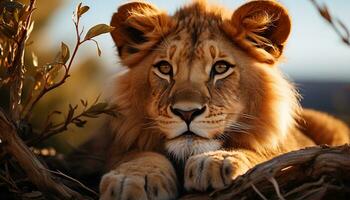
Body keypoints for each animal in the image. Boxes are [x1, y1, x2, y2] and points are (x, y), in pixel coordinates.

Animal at [93, 0, 350, 199]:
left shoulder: (293, 146)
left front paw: (217, 160)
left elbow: (271, 153)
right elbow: (136, 154)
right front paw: (133, 179)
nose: (187, 113)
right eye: (165, 68)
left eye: (221, 68)